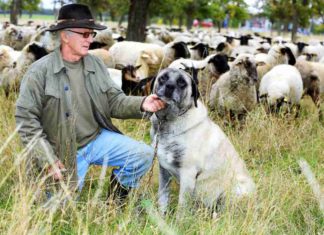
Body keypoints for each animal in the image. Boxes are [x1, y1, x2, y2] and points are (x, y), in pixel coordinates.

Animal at [151, 67, 256, 213]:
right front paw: (162, 215)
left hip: (234, 191)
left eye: (182, 82)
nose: (169, 86)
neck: (168, 121)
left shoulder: (188, 174)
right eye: (163, 78)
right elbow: (163, 197)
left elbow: (182, 207)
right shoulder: (164, 172)